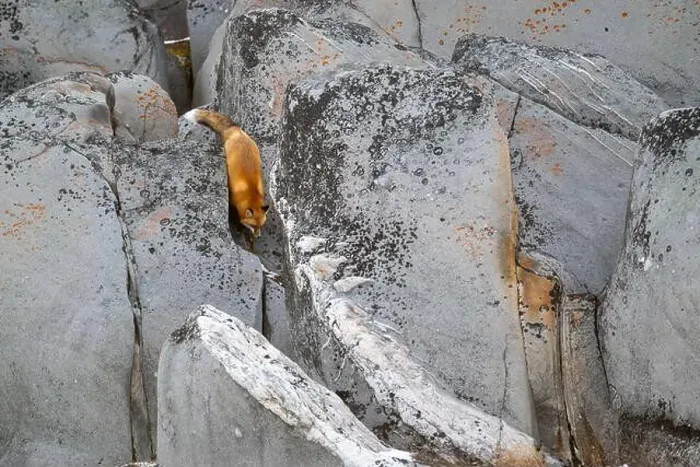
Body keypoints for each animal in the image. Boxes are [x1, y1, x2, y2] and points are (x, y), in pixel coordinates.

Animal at [183, 108, 269, 246]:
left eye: (261, 225)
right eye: (253, 225)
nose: (258, 236)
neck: (249, 191)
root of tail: (236, 130)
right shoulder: (233, 201)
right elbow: (235, 218)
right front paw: (239, 229)